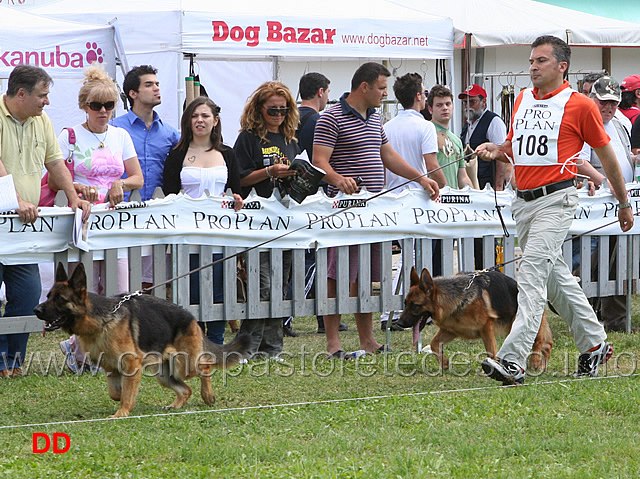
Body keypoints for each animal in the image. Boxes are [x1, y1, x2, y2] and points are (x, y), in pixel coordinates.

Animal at [34, 264, 250, 418]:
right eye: (48, 296)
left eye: (60, 299)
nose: (36, 310)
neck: (100, 321)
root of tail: (191, 317)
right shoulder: (111, 368)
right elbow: (116, 393)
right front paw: (127, 400)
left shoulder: (130, 365)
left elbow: (125, 393)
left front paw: (122, 412)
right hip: (163, 374)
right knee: (186, 390)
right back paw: (175, 405)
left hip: (186, 365)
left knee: (205, 366)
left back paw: (208, 395)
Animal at [392, 268, 552, 374]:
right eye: (405, 303)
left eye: (415, 305)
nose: (399, 323)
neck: (457, 298)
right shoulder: (451, 330)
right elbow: (434, 344)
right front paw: (444, 363)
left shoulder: (486, 328)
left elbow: (491, 351)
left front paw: (491, 369)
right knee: (547, 345)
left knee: (539, 341)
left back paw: (535, 362)